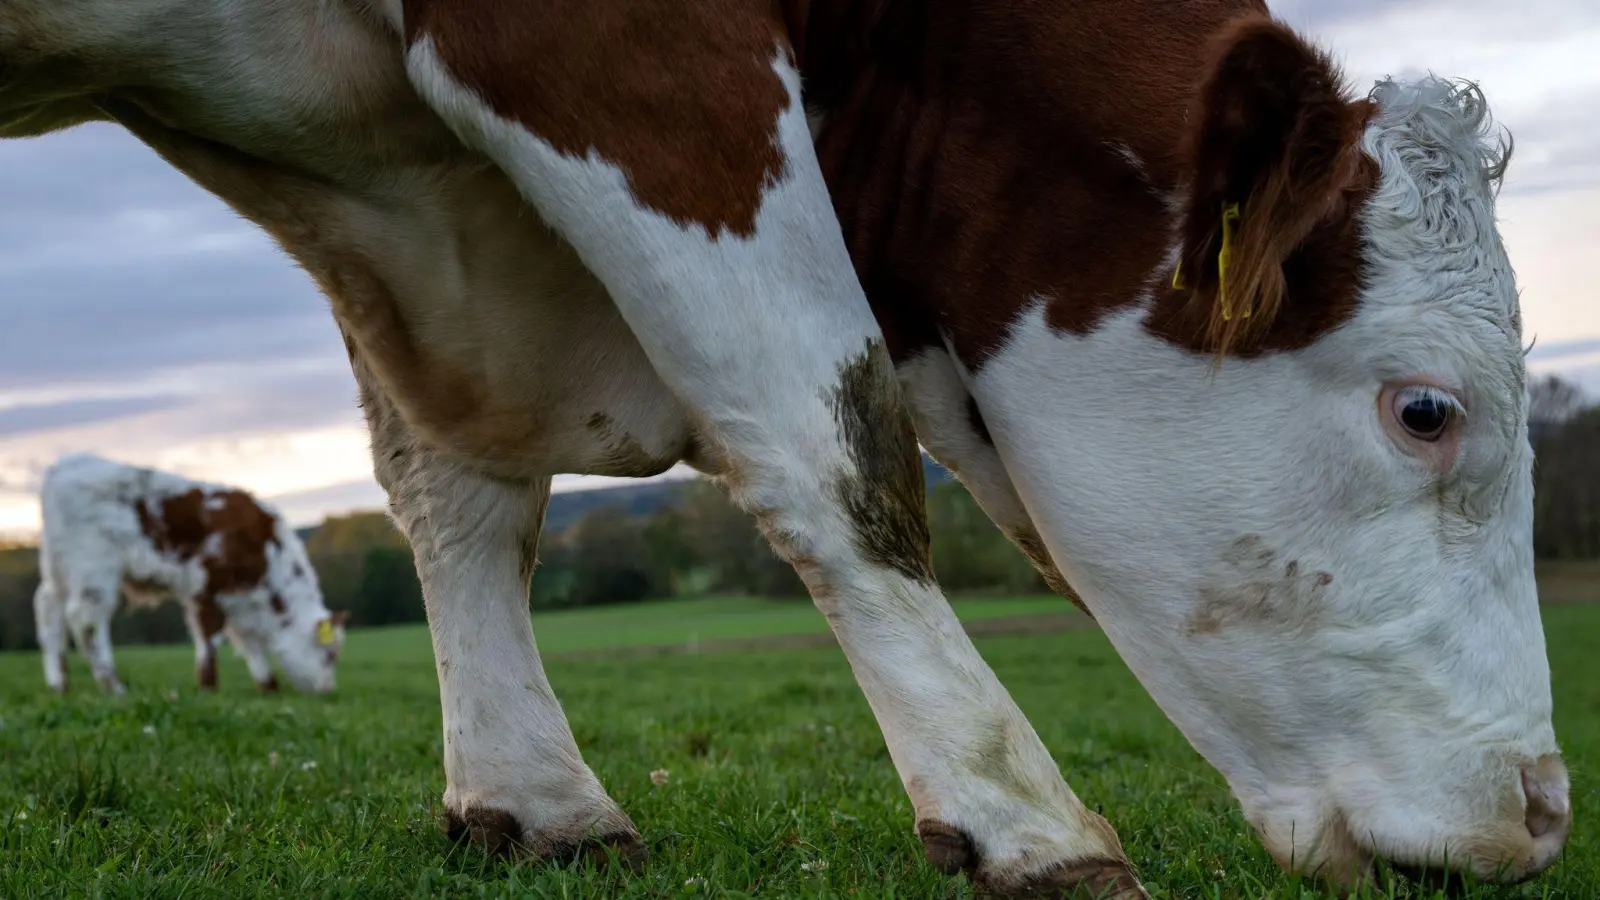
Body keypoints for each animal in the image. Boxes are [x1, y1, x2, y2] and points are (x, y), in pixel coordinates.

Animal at [34, 454, 347, 695]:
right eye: (330, 654)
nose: (327, 689)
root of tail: (66, 465)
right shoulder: (206, 585)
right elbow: (210, 637)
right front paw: (208, 686)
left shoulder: (240, 600)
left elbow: (248, 642)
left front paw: (267, 685)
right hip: (93, 571)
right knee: (86, 621)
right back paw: (113, 686)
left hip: (57, 572)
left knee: (48, 612)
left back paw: (59, 684)